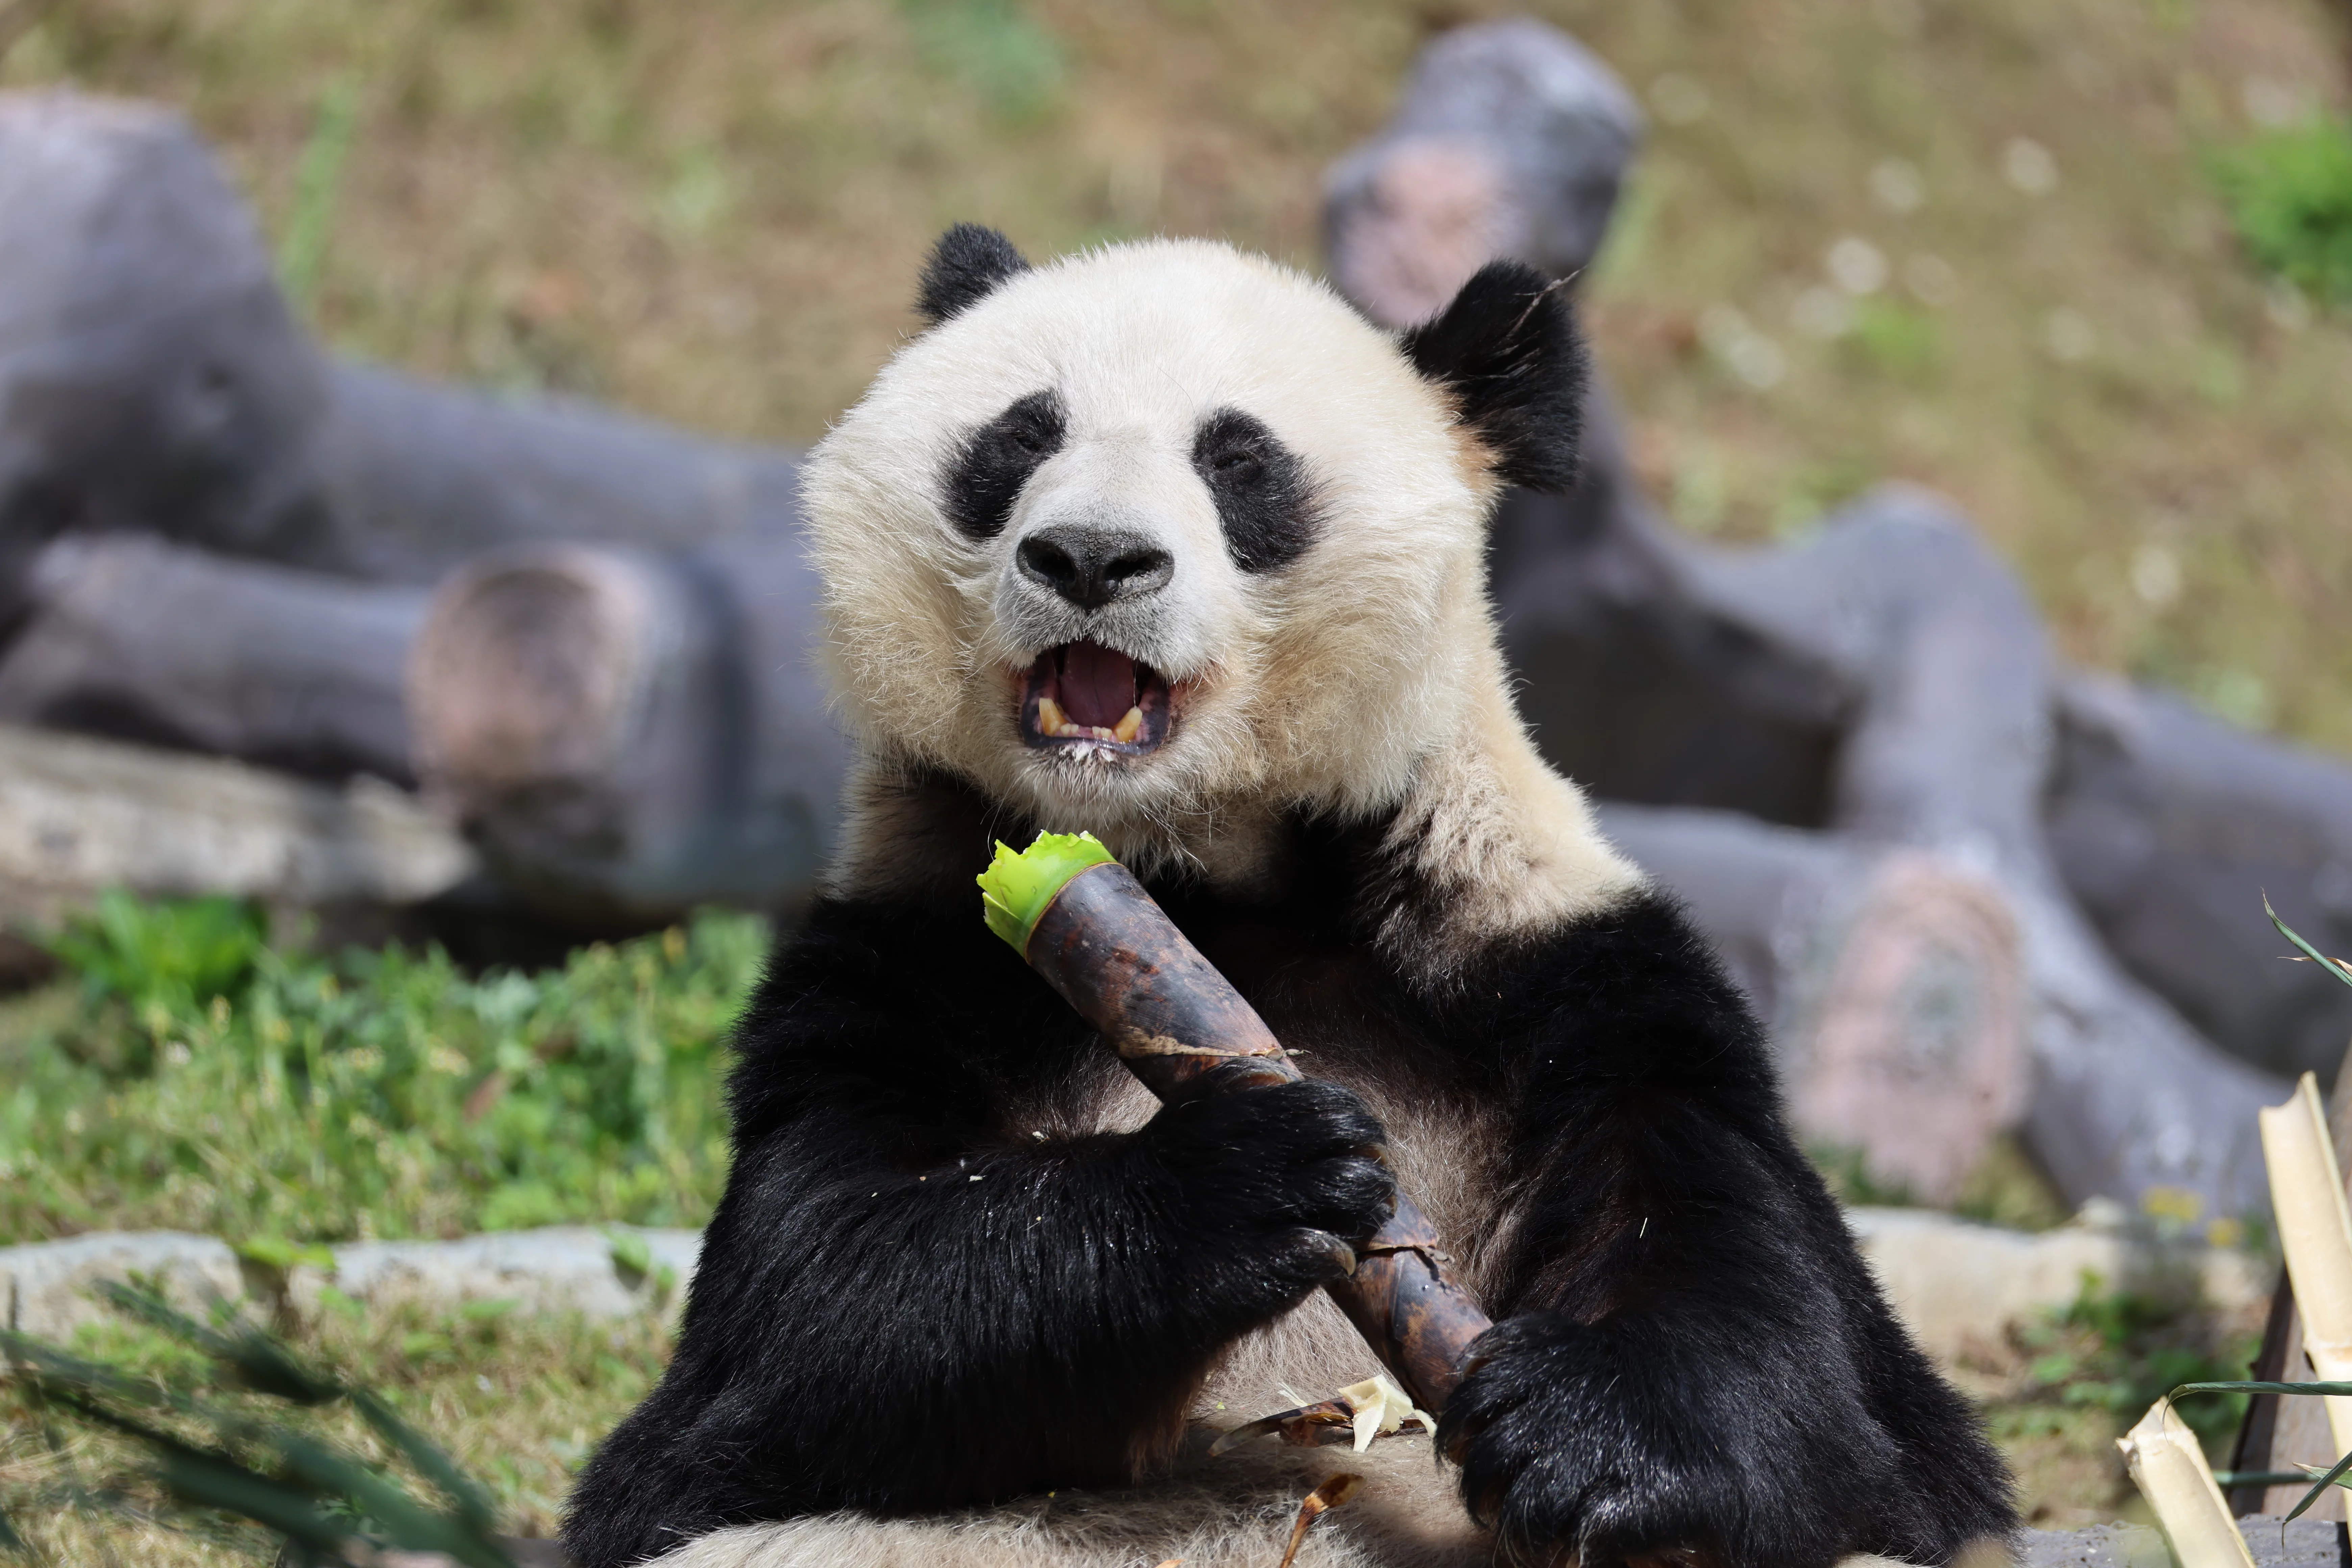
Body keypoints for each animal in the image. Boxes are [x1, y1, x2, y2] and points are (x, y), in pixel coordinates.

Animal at [560, 226, 2016, 1568]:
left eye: (1238, 462)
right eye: (1021, 438)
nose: (1090, 557)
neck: (1203, 875)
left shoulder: (1559, 968)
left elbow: (1808, 1370)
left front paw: (1582, 1435)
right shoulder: (905, 958)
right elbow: (798, 1325)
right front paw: (1245, 1177)